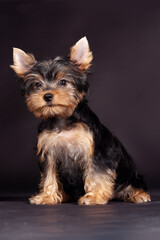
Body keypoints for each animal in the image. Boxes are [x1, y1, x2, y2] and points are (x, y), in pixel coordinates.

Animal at [10, 37, 151, 204]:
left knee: (131, 184)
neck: (62, 118)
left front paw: (93, 196)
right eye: (37, 84)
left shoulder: (96, 151)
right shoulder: (48, 151)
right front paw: (47, 196)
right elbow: (49, 175)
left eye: (63, 82)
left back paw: (138, 194)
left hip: (129, 173)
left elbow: (97, 174)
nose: (47, 95)